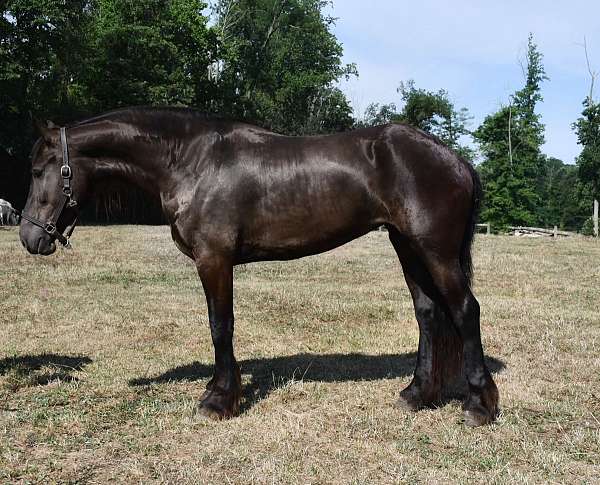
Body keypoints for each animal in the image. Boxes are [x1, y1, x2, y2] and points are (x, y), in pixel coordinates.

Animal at [18, 108, 500, 426]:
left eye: (41, 169)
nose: (29, 236)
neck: (190, 160)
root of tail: (456, 159)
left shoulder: (214, 259)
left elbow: (221, 325)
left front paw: (218, 400)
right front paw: (221, 392)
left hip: (434, 251)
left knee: (466, 310)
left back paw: (479, 406)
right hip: (407, 247)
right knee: (429, 314)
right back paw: (417, 395)